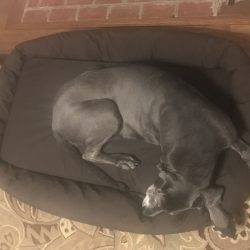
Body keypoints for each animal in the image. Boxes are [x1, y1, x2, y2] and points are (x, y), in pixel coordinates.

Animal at [52, 64, 250, 236]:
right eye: (154, 193)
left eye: (172, 214)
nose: (144, 213)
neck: (197, 142)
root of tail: (54, 122)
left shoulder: (229, 135)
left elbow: (245, 152)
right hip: (108, 110)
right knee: (89, 154)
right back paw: (122, 160)